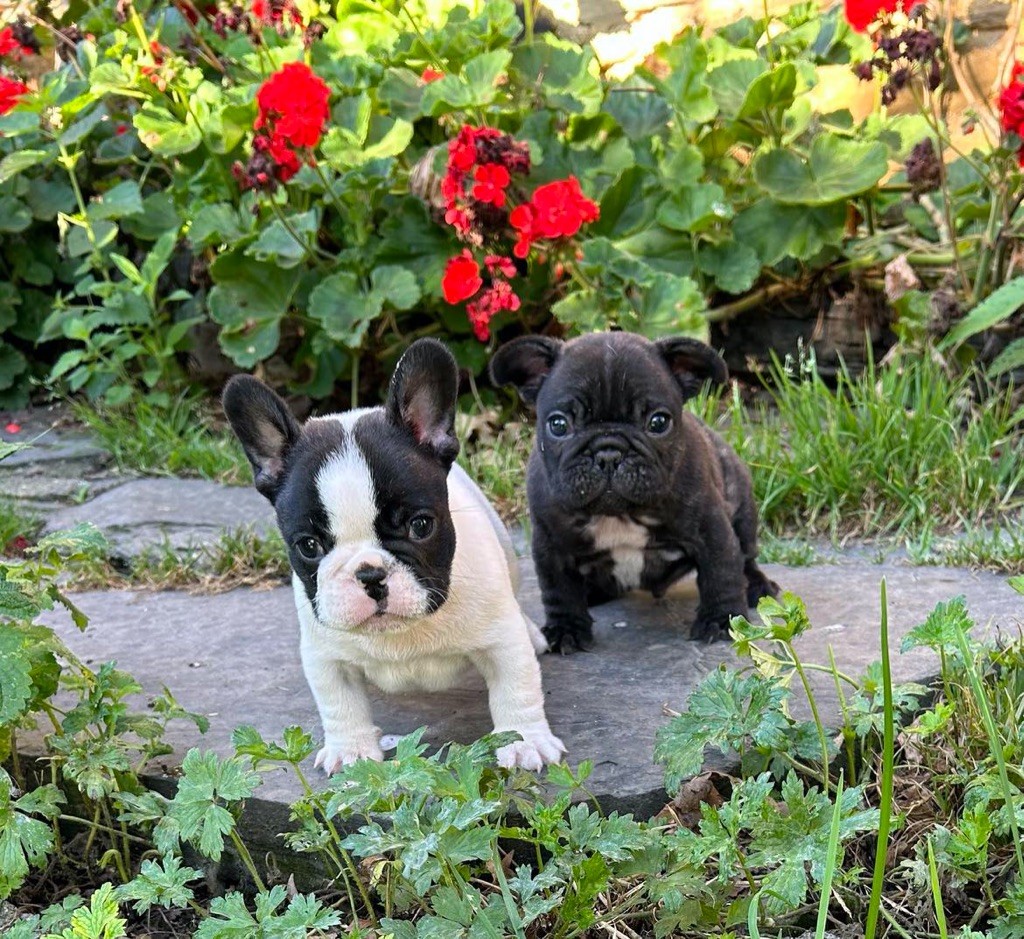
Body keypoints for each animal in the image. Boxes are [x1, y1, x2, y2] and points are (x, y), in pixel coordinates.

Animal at [221, 339, 569, 774]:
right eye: (308, 546)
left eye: (420, 526)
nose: (370, 574)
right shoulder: (324, 655)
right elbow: (339, 701)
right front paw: (351, 750)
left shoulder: (501, 640)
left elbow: (515, 686)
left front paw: (524, 741)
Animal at [487, 331, 774, 651]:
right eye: (558, 424)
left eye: (658, 422)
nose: (608, 452)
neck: (619, 515)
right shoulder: (551, 544)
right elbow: (559, 590)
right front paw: (565, 629)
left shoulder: (711, 530)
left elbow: (721, 572)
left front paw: (722, 620)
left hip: (743, 507)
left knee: (746, 557)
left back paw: (757, 586)